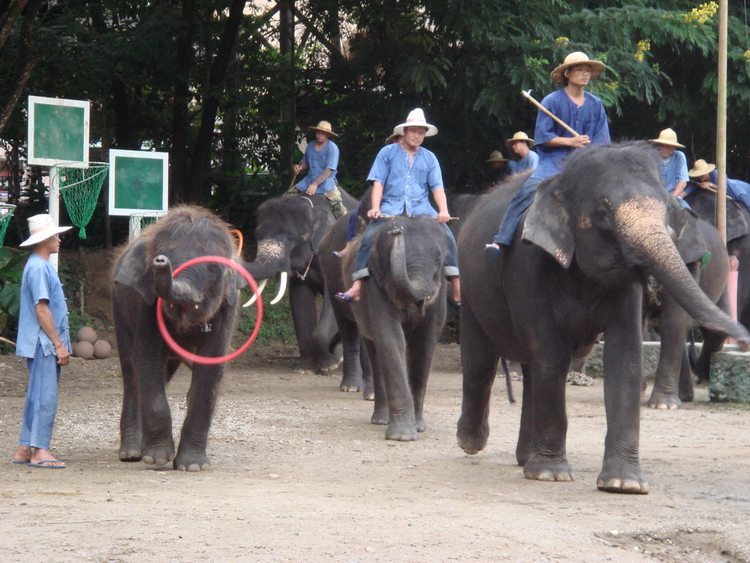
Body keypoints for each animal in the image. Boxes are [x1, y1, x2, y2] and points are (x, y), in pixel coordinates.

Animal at [111, 207, 244, 472]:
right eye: (158, 261)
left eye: (213, 268)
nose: (161, 261)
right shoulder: (146, 304)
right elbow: (147, 357)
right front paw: (156, 458)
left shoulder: (228, 306)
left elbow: (211, 368)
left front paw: (192, 466)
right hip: (119, 307)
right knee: (131, 373)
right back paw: (131, 453)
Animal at [247, 191, 362, 374]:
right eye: (257, 235)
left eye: (291, 239)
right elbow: (300, 300)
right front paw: (305, 369)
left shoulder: (334, 253)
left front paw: (331, 363)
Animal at [322, 215, 450, 440]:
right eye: (389, 259)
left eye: (437, 262)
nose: (396, 231)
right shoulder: (375, 285)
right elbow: (391, 339)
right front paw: (402, 436)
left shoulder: (439, 296)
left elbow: (424, 344)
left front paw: (418, 427)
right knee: (369, 346)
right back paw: (380, 419)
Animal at [644, 214, 732, 408]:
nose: (653, 287)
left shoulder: (690, 263)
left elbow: (674, 320)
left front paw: (662, 406)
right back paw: (683, 395)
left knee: (715, 329)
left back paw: (699, 376)